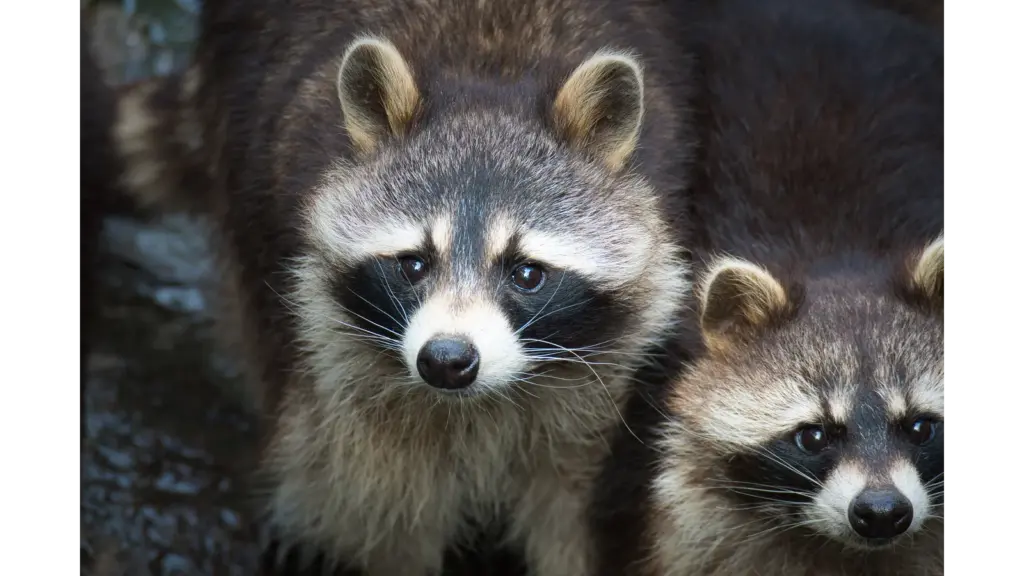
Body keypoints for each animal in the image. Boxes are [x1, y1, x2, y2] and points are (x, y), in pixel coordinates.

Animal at [114, 0, 695, 574]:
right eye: (413, 264)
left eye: (527, 274)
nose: (447, 359)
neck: (490, 76)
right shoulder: (327, 348)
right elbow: (380, 500)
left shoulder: (608, 389)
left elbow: (577, 511)